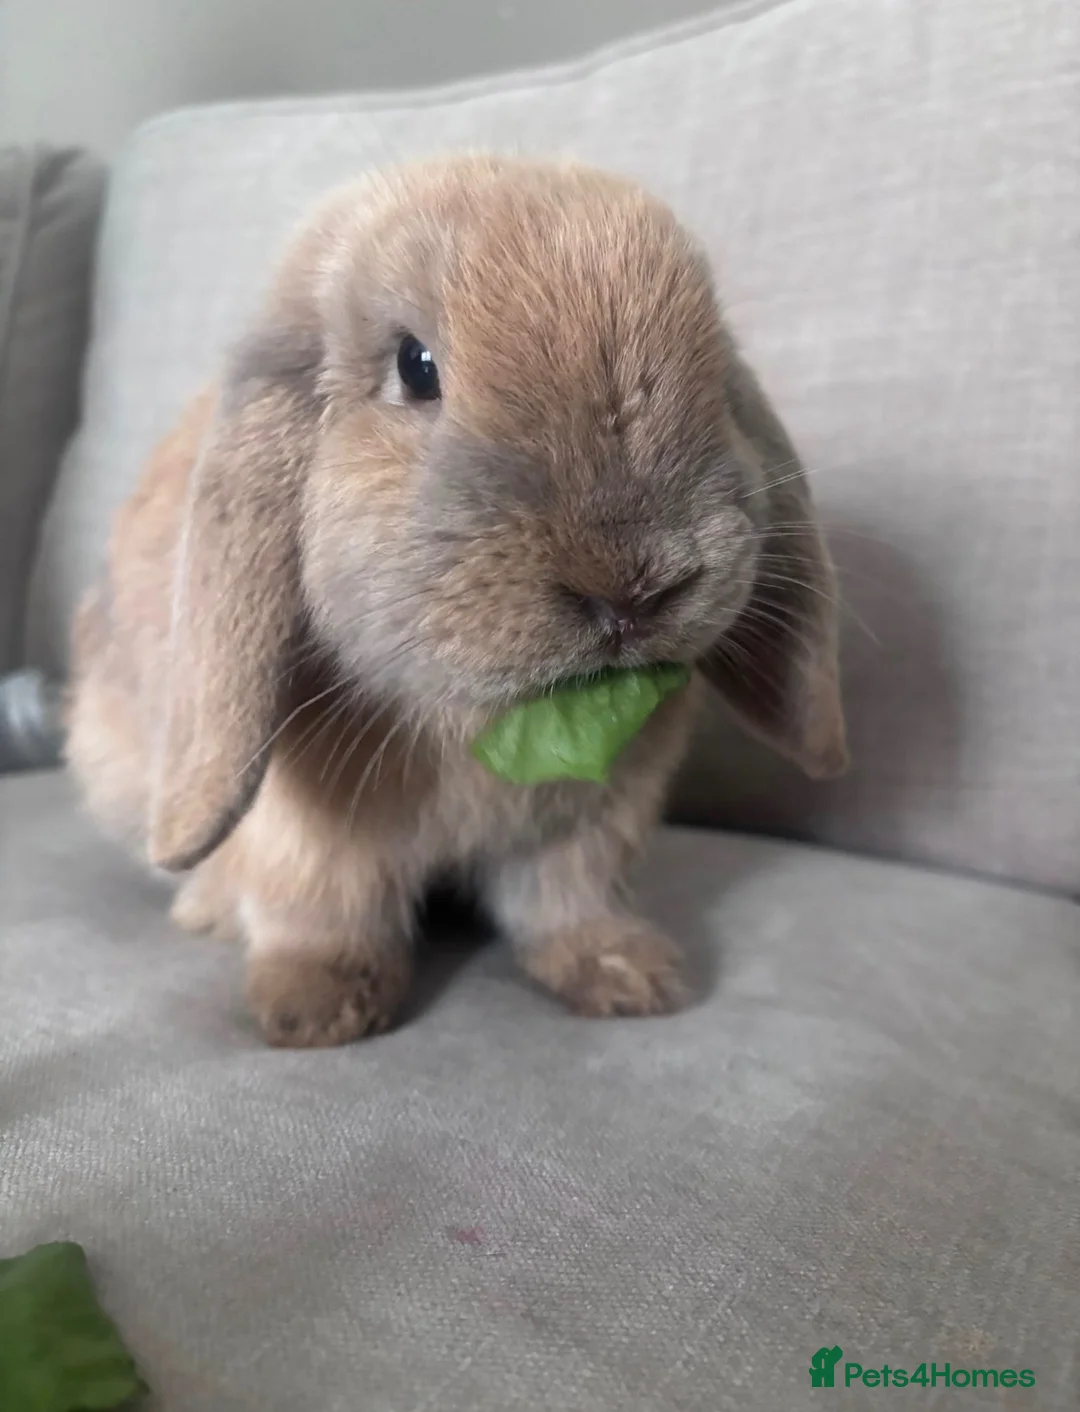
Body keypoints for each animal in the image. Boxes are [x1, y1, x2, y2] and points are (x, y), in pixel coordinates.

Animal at [67, 154, 847, 1048]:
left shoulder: (590, 830)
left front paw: (630, 977)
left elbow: (566, 903)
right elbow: (322, 908)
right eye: (416, 366)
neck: (478, 722)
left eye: (717, 380)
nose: (632, 586)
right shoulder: (302, 834)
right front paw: (315, 1010)